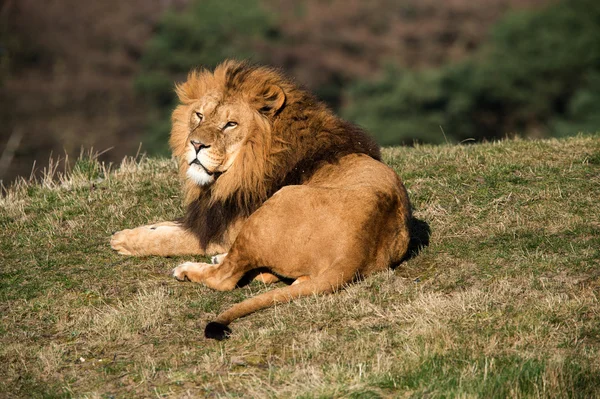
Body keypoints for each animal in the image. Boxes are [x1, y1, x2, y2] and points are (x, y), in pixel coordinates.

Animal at [110, 61, 410, 342]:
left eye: (230, 124)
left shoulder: (226, 228)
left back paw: (190, 269)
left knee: (225, 278)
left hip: (272, 207)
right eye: (199, 115)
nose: (195, 144)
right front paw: (133, 232)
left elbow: (171, 239)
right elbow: (167, 226)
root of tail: (355, 252)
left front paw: (122, 241)